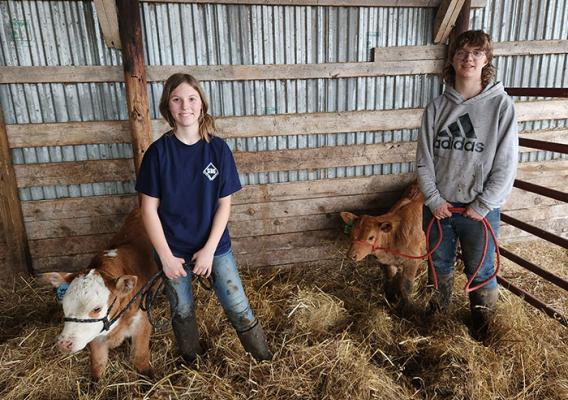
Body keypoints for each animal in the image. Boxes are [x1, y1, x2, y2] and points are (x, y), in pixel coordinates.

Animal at [41, 209, 158, 382]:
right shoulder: (96, 335)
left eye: (97, 309)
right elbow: (97, 364)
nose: (64, 343)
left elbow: (140, 357)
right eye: (64, 306)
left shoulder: (142, 321)